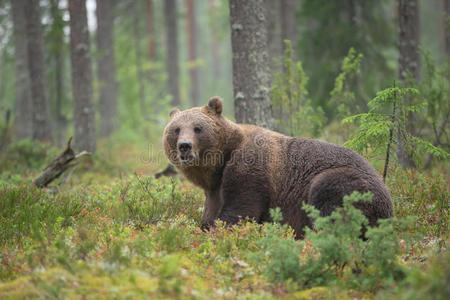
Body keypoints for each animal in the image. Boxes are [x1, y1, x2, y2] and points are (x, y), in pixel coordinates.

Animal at [163, 96, 392, 237]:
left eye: (197, 128)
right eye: (176, 129)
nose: (184, 146)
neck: (220, 164)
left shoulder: (250, 170)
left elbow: (240, 210)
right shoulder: (214, 189)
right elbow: (210, 213)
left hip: (347, 183)